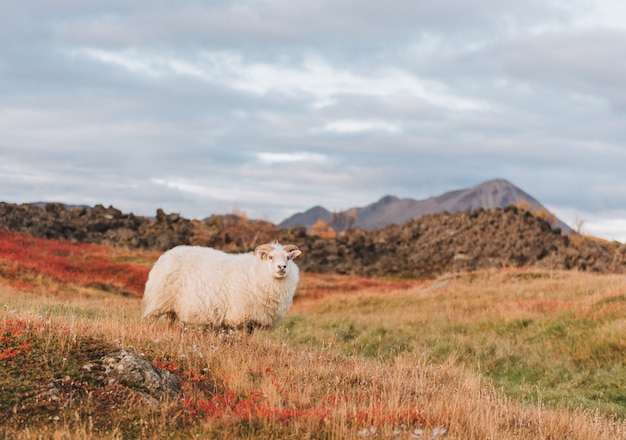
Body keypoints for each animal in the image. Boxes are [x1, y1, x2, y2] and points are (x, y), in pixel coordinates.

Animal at [141, 242, 300, 332]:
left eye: (288, 258)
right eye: (270, 257)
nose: (282, 267)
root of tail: (166, 255)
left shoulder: (252, 319)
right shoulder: (242, 316)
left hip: (172, 305)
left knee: (168, 321)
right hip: (160, 299)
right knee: (151, 320)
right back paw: (150, 334)